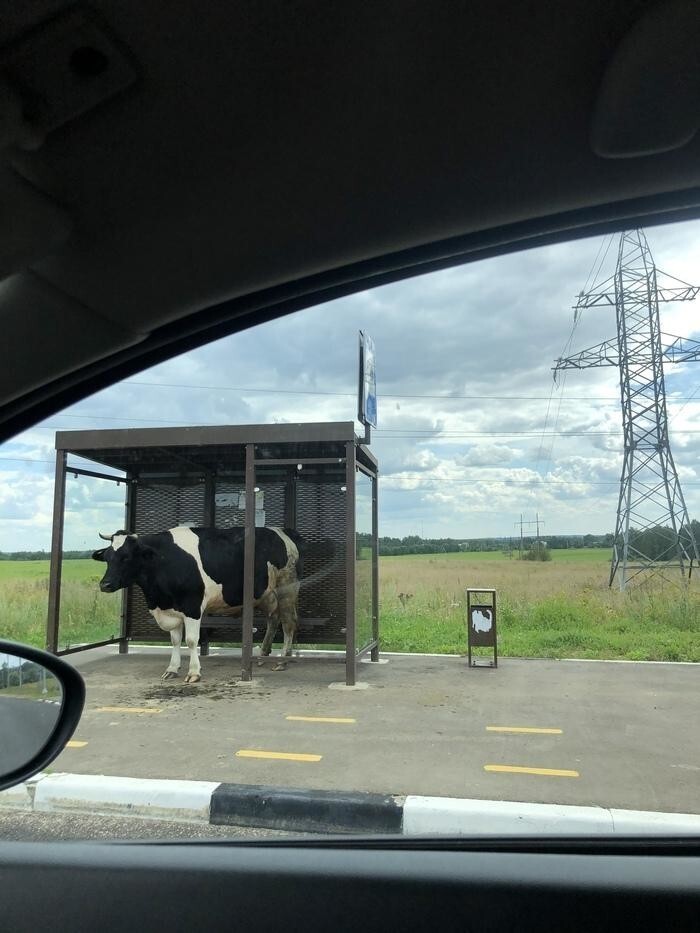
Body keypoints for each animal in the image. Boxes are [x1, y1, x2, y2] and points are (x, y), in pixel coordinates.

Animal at [91, 524, 302, 684]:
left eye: (126, 557)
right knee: (273, 619)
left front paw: (194, 672)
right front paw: (172, 668)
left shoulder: (192, 606)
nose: (105, 584)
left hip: (287, 588)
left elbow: (191, 640)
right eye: (107, 557)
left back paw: (283, 661)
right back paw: (264, 655)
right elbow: (175, 640)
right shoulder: (171, 608)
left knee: (289, 622)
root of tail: (282, 531)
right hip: (267, 595)